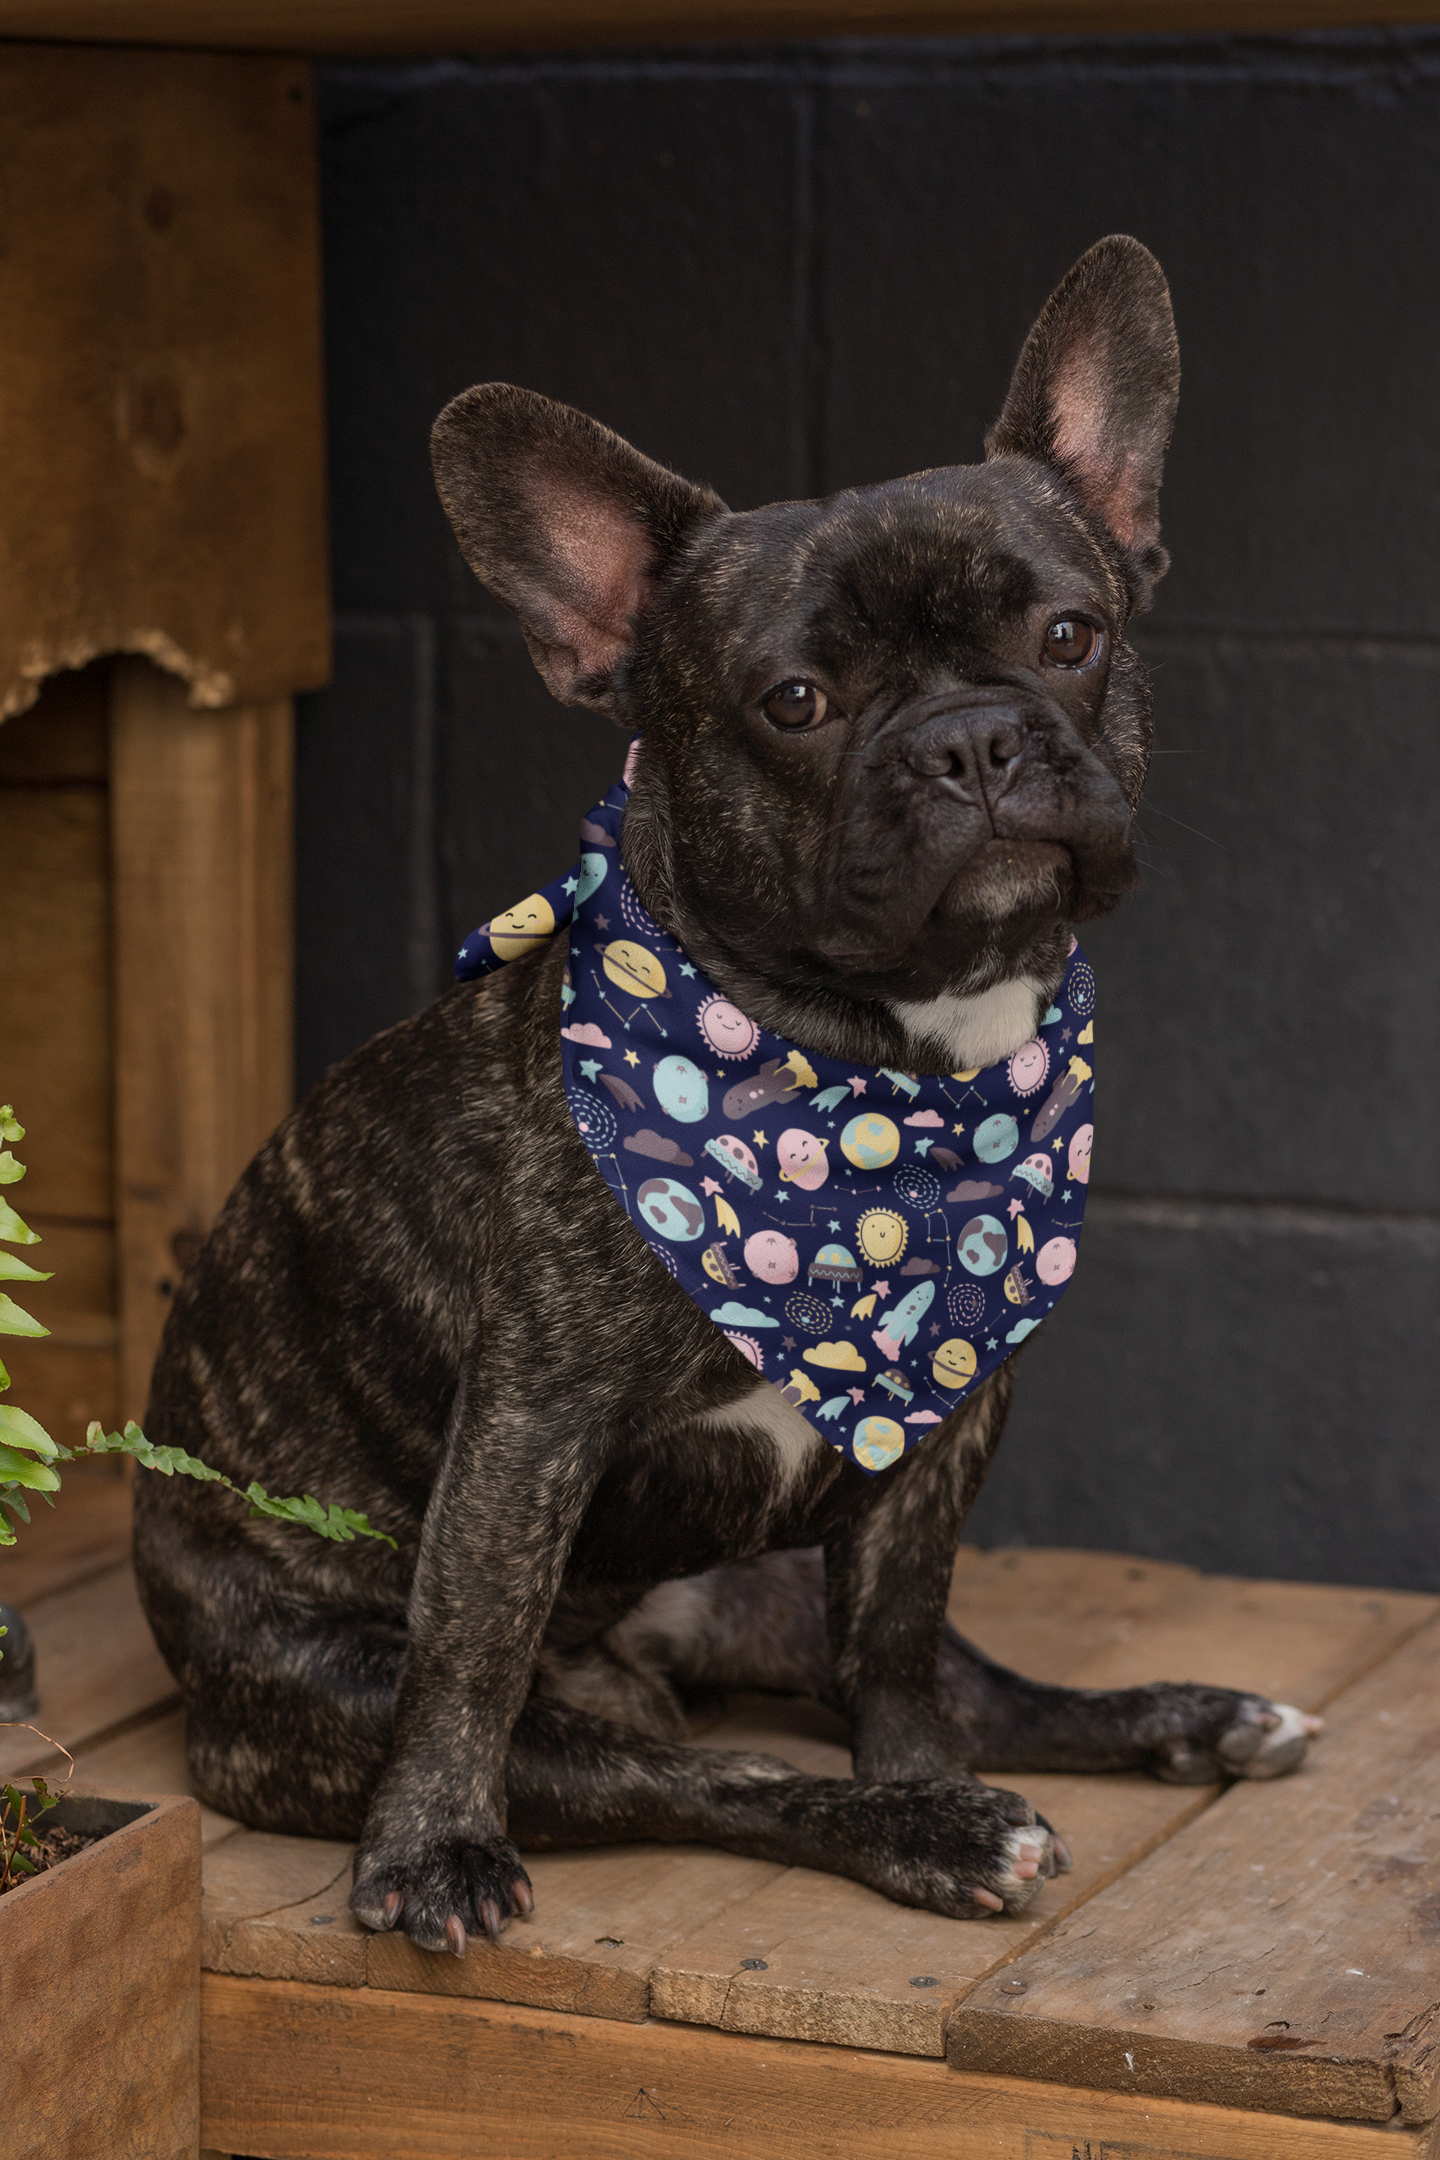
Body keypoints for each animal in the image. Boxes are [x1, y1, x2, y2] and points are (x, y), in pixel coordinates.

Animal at [132, 236, 1321, 1961]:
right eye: (796, 702)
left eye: (1070, 637)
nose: (973, 741)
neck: (873, 1074)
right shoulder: (530, 1426)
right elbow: (472, 1650)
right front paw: (429, 1848)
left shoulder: (941, 1416)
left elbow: (898, 1638)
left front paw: (922, 1771)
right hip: (349, 1685)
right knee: (687, 1773)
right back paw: (906, 1822)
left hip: (781, 1570)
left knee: (954, 1685)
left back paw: (1173, 1723)